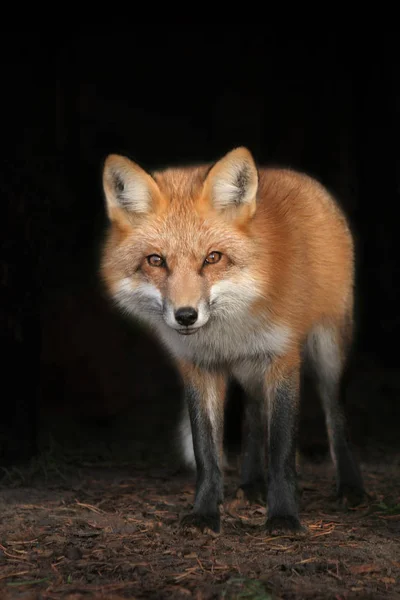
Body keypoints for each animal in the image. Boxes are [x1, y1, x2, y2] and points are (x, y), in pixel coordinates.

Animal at [100, 148, 366, 532]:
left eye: (212, 258)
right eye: (156, 260)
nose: (185, 316)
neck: (229, 332)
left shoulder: (283, 357)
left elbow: (282, 449)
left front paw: (283, 516)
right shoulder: (199, 367)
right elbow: (207, 451)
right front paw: (204, 512)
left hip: (328, 349)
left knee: (336, 416)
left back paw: (350, 487)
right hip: (251, 370)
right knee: (254, 415)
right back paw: (252, 484)